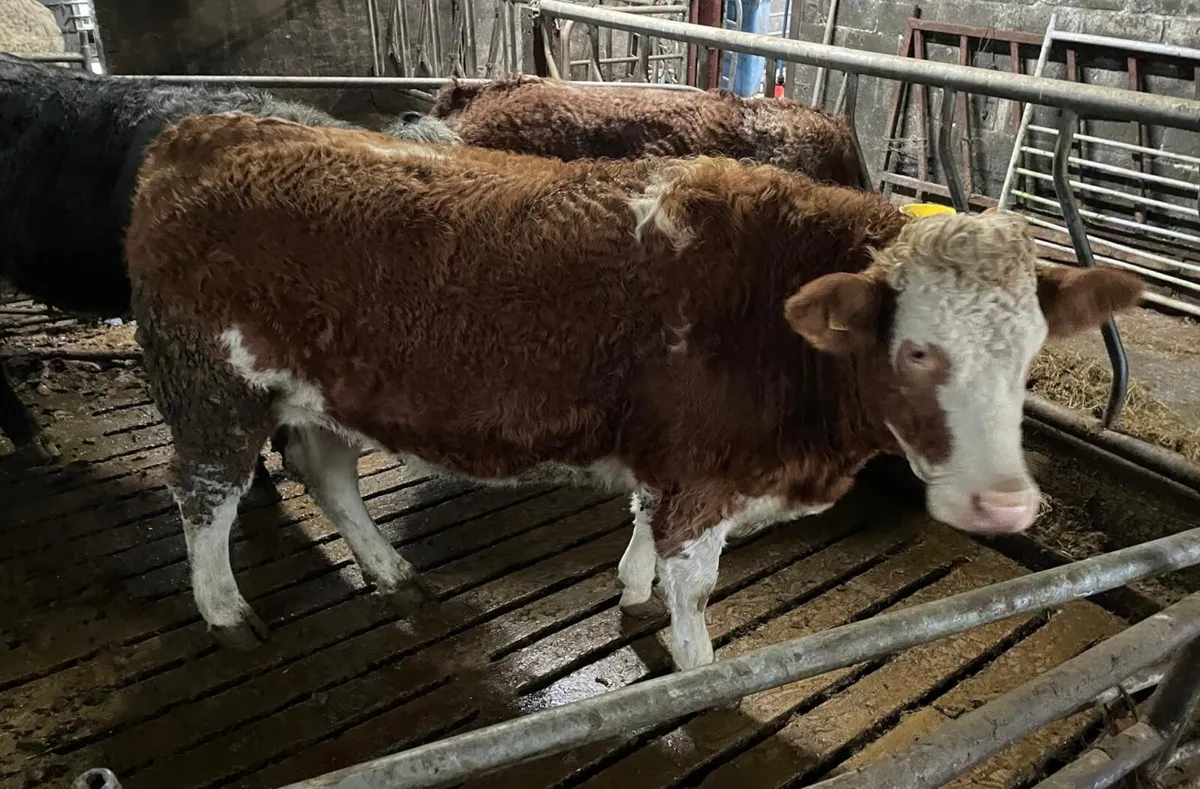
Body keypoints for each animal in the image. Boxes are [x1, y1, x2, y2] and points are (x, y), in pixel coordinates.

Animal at [124, 113, 1143, 669]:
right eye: (918, 351)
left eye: (1032, 352)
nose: (1005, 505)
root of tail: (204, 132)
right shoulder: (708, 470)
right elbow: (696, 580)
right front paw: (698, 663)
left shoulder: (672, 454)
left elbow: (645, 532)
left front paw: (633, 586)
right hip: (212, 389)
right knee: (202, 497)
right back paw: (227, 612)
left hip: (317, 393)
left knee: (328, 472)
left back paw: (390, 569)